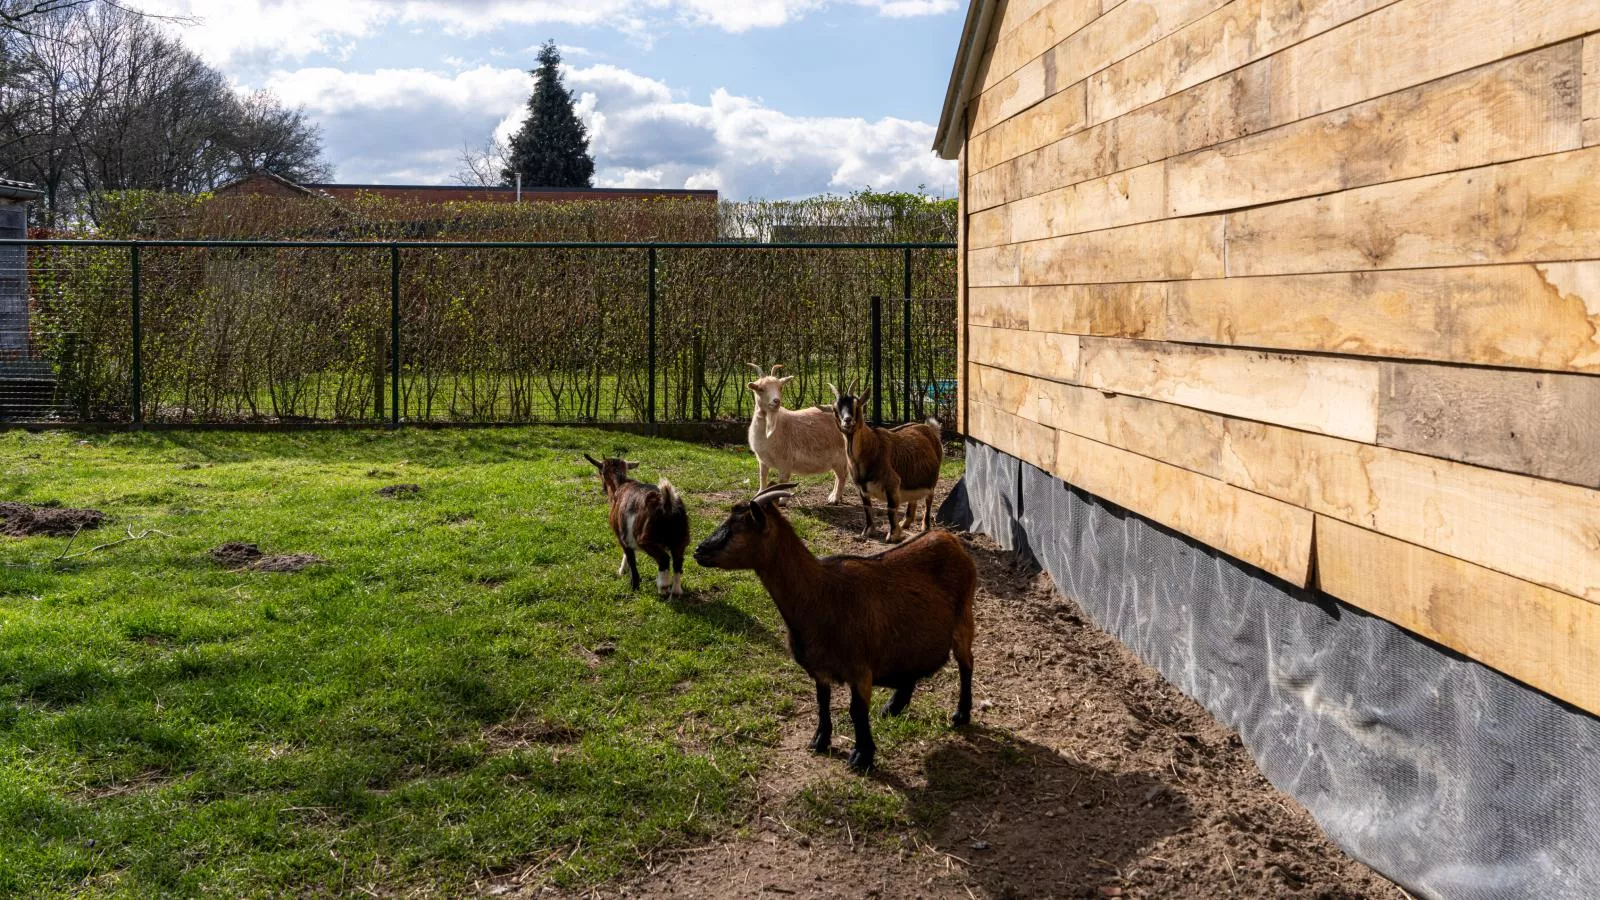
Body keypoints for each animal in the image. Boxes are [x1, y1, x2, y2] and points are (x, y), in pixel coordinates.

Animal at [588, 454, 688, 595]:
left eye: (600, 472)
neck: (620, 484)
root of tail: (667, 503)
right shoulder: (627, 535)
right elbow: (627, 555)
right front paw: (622, 571)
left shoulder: (621, 535)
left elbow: (631, 559)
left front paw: (633, 585)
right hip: (680, 539)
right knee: (678, 562)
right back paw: (676, 591)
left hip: (647, 539)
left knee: (664, 559)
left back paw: (663, 587)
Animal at [691, 483, 972, 771]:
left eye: (737, 527)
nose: (699, 551)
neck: (820, 595)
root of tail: (947, 537)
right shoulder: (819, 670)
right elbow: (822, 703)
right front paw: (820, 741)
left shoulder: (860, 670)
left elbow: (856, 711)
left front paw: (862, 755)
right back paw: (893, 707)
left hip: (964, 619)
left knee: (966, 664)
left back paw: (960, 714)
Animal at [745, 365, 851, 506]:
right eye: (760, 389)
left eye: (780, 387)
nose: (776, 401)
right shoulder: (762, 460)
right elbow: (762, 478)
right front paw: (759, 495)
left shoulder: (785, 460)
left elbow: (783, 481)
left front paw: (782, 500)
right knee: (838, 476)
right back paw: (834, 497)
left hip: (840, 456)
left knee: (842, 476)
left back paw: (835, 498)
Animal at [832, 384, 940, 538]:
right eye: (835, 409)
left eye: (856, 405)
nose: (847, 420)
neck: (871, 447)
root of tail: (929, 428)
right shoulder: (861, 488)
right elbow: (867, 508)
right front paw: (867, 531)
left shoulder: (892, 483)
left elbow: (890, 509)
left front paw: (893, 535)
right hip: (912, 478)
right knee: (913, 499)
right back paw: (905, 522)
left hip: (932, 480)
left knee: (929, 499)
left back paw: (925, 527)